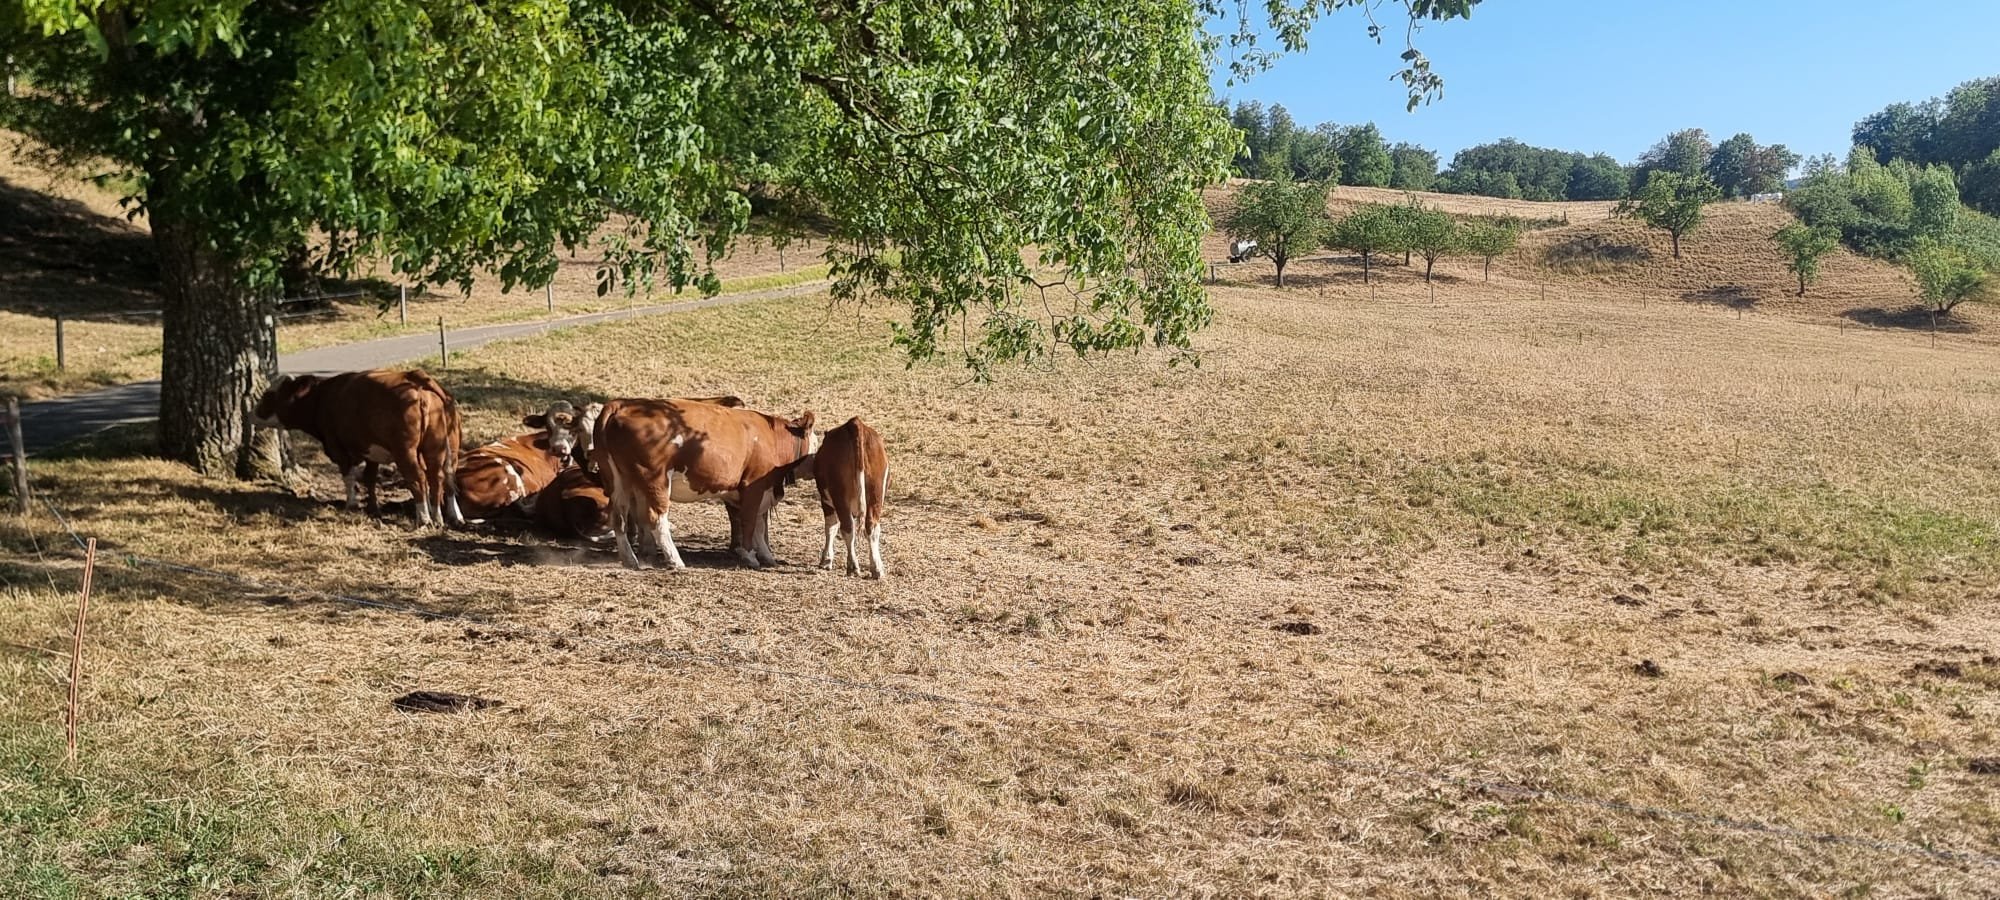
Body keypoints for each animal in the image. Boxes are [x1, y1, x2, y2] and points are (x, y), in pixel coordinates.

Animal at [252, 369, 461, 526]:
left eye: (269, 395)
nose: (251, 414)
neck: (321, 398)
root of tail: (413, 375)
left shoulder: (338, 448)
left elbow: (348, 476)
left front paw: (351, 503)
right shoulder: (371, 452)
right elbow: (370, 478)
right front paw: (372, 508)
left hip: (405, 452)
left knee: (418, 478)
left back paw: (424, 518)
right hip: (443, 447)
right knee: (443, 477)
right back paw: (447, 516)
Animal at [592, 397, 818, 570]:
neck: (771, 438)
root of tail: (622, 404)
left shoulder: (758, 492)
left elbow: (759, 525)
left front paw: (767, 556)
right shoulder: (753, 487)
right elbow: (750, 521)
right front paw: (749, 556)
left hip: (617, 482)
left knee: (618, 517)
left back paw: (630, 559)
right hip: (656, 481)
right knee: (657, 518)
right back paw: (675, 560)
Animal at [808, 417, 888, 578]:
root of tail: (855, 423)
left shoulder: (826, 502)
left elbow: (831, 526)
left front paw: (826, 560)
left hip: (840, 497)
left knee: (847, 528)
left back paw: (853, 566)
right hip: (876, 494)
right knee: (872, 527)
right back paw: (876, 568)